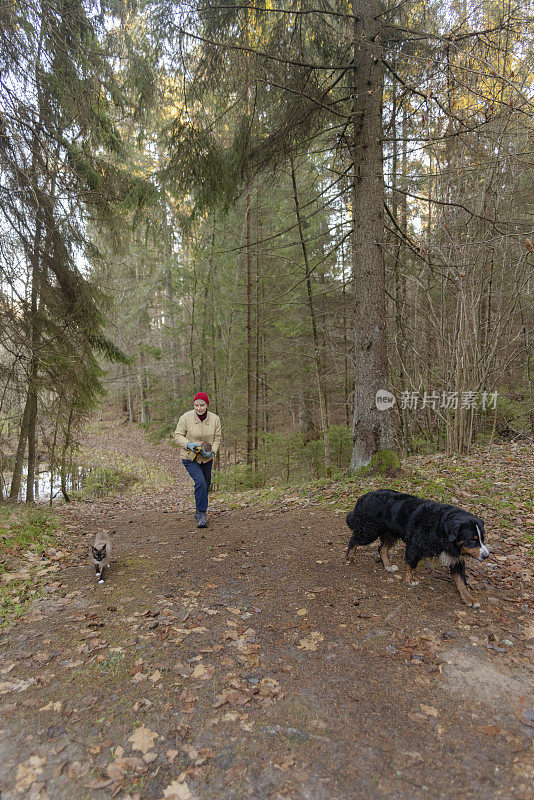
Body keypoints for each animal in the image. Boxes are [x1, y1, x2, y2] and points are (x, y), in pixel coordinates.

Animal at [346, 488, 492, 608]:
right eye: (471, 540)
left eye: (482, 539)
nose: (486, 556)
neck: (440, 528)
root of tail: (364, 496)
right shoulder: (415, 544)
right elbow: (411, 564)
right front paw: (410, 579)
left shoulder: (456, 558)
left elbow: (461, 581)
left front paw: (469, 598)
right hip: (369, 530)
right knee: (354, 540)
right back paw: (350, 557)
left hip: (390, 533)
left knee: (381, 548)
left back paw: (387, 566)